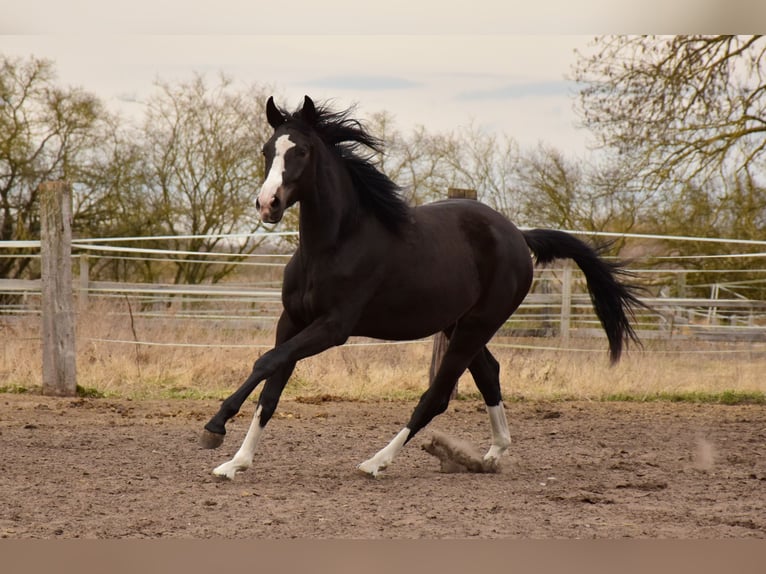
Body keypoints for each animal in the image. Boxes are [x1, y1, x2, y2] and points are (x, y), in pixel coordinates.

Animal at [200, 95, 642, 479]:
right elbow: (271, 389)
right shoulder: (292, 320)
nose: (267, 205)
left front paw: (215, 427)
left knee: (437, 396)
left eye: (303, 152)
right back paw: (492, 455)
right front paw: (234, 463)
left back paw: (376, 462)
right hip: (458, 324)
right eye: (267, 150)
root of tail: (518, 235)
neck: (334, 244)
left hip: (477, 325)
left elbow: (265, 363)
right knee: (489, 374)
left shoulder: (333, 327)